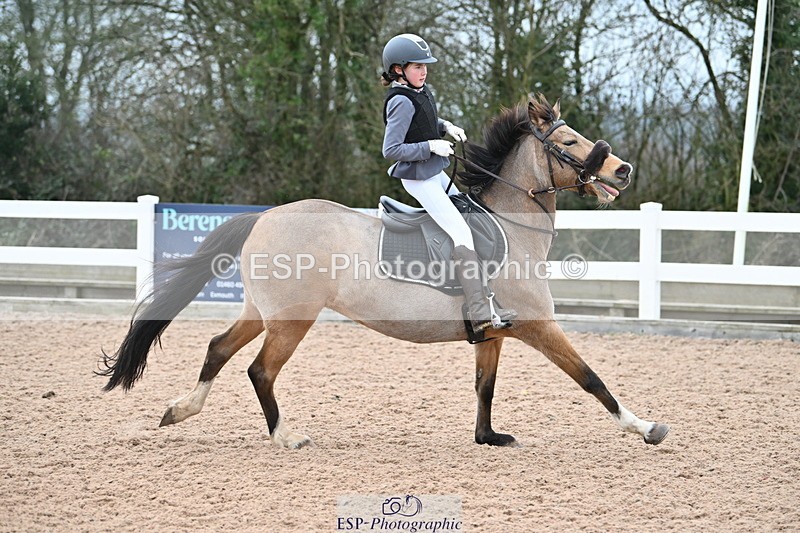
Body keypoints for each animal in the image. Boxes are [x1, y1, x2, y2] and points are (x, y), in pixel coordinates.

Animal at [99, 94, 670, 449]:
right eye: (569, 142)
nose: (622, 170)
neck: (513, 225)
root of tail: (264, 216)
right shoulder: (539, 326)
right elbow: (592, 378)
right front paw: (644, 428)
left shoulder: (493, 333)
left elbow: (484, 386)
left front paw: (488, 438)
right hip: (292, 320)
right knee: (260, 370)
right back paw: (285, 436)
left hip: (262, 311)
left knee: (219, 347)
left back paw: (180, 410)